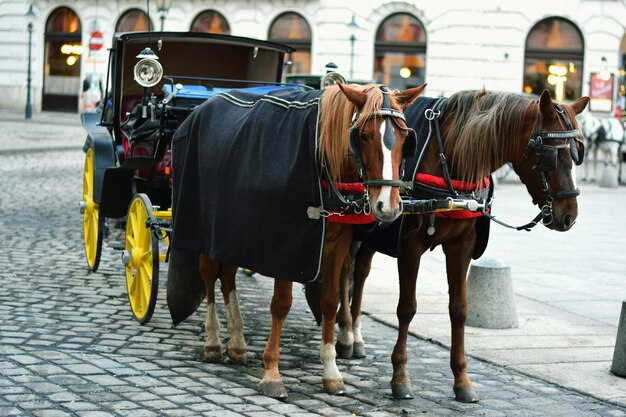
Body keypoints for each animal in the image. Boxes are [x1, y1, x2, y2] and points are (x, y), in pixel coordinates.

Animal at [171, 82, 424, 396]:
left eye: (405, 137)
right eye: (363, 136)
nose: (387, 206)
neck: (322, 162)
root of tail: (202, 107)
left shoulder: (337, 245)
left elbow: (329, 302)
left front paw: (331, 370)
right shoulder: (288, 246)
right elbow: (281, 304)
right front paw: (271, 372)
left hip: (233, 231)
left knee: (227, 275)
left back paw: (238, 342)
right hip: (206, 226)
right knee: (209, 274)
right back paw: (214, 340)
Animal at [334, 89, 588, 402]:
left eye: (578, 152)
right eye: (553, 154)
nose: (569, 216)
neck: (448, 160)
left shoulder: (461, 247)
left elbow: (459, 310)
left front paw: (462, 379)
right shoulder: (409, 247)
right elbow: (407, 308)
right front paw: (400, 376)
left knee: (360, 275)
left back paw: (356, 335)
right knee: (345, 272)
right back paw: (345, 333)